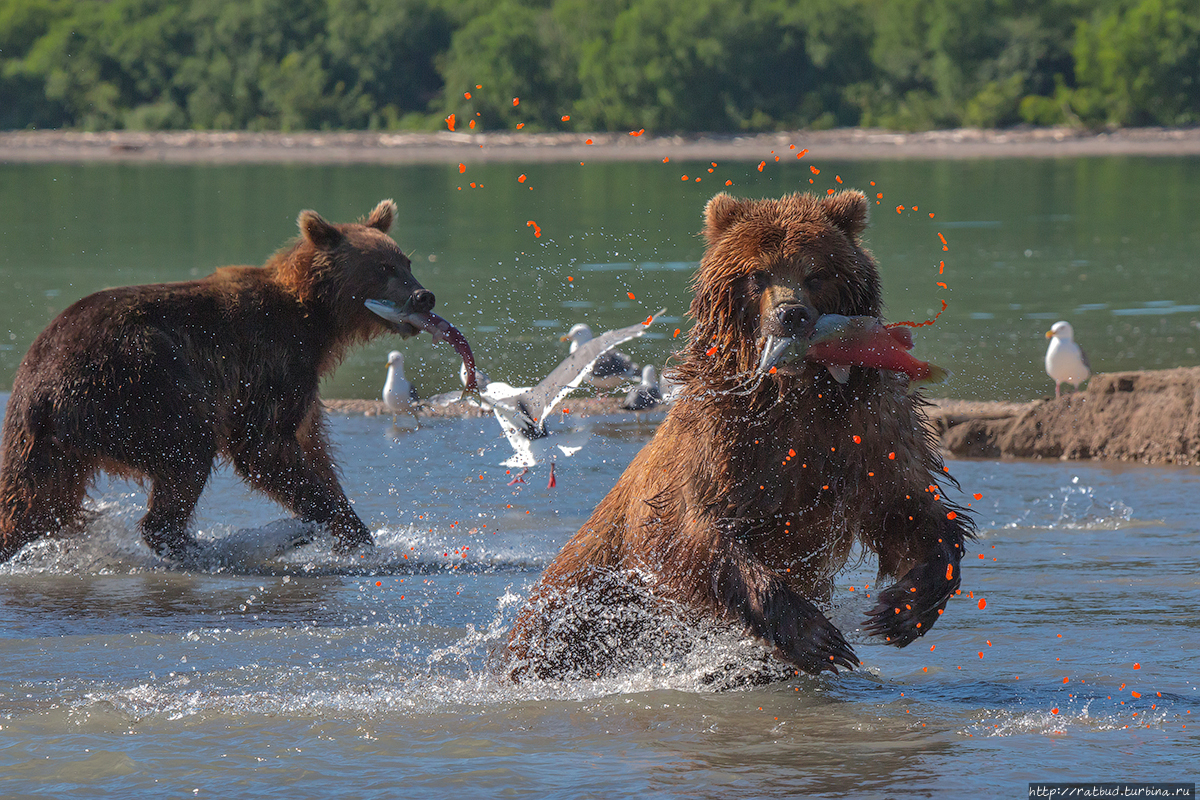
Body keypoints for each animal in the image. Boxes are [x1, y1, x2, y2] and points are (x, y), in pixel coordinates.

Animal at [1, 200, 436, 563]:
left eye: (407, 262)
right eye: (383, 268)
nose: (424, 296)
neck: (316, 322)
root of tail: (40, 388)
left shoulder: (302, 386)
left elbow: (313, 449)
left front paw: (355, 533)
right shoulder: (270, 362)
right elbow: (263, 445)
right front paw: (326, 525)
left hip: (45, 440)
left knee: (34, 501)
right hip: (137, 382)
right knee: (188, 448)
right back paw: (214, 545)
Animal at [501, 190, 969, 681]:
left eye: (817, 272)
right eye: (758, 273)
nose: (791, 314)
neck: (793, 396)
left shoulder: (864, 433)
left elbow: (909, 507)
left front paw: (903, 609)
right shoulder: (722, 447)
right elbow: (693, 533)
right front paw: (819, 638)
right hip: (578, 599)